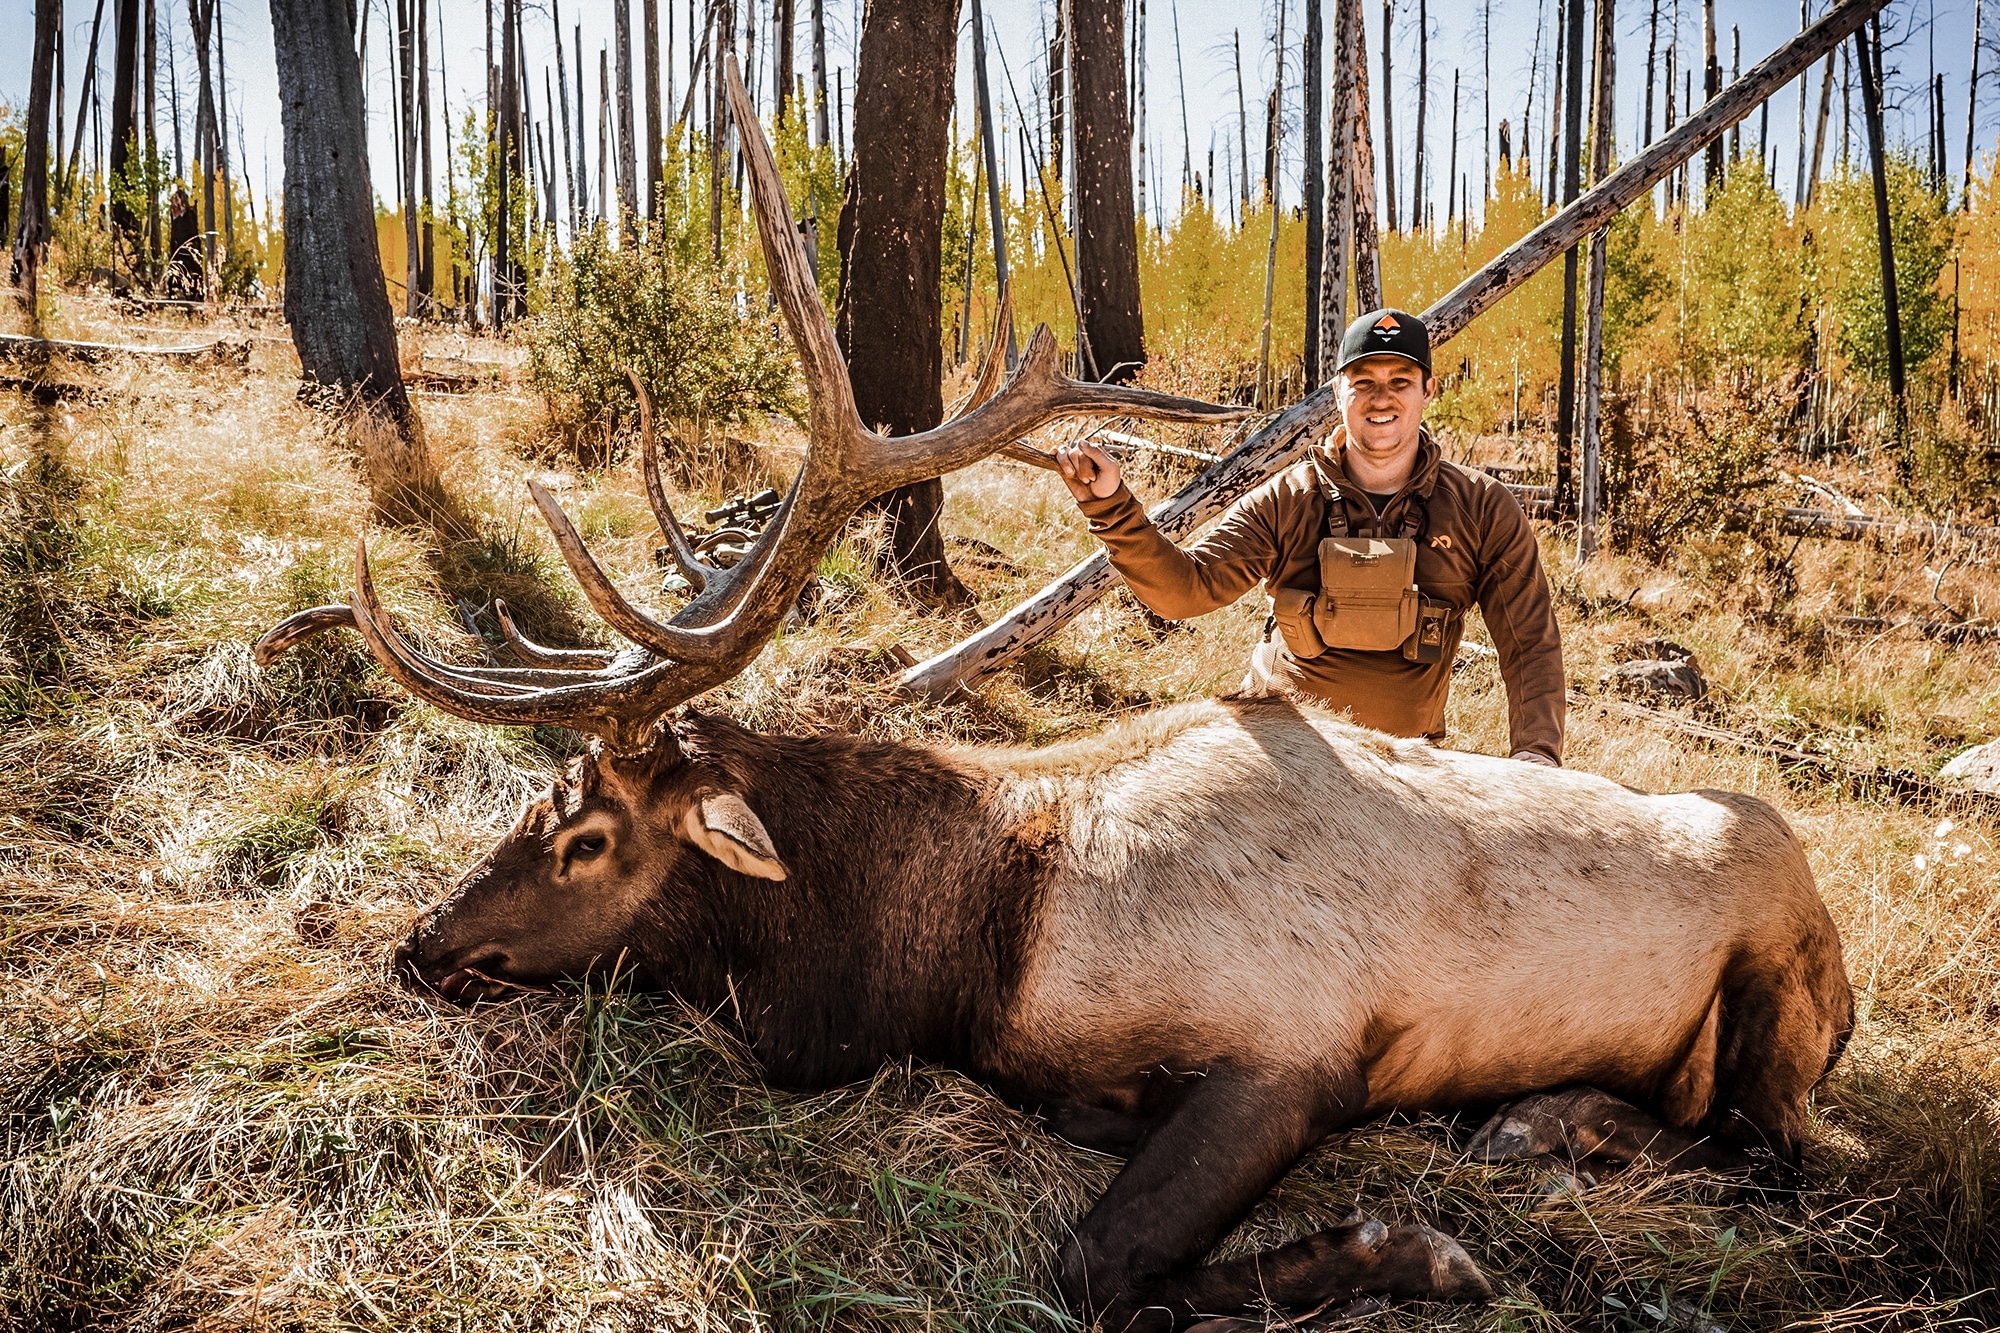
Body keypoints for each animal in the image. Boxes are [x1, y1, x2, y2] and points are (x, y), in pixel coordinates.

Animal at [258, 59, 1848, 1328]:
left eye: (587, 835)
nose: (421, 942)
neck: (961, 944)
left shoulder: (1293, 1055)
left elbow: (1092, 1266)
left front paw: (1412, 1253)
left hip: (1774, 997)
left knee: (1768, 1154)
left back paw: (1546, 1131)